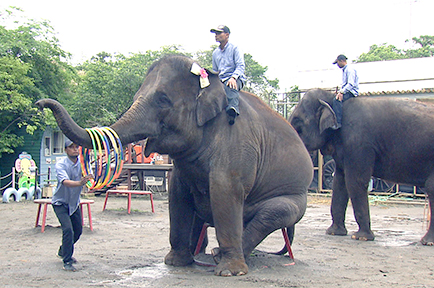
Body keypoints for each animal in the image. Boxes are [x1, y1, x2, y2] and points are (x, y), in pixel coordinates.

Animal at [34, 54, 312, 276]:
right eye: (136, 97)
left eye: (163, 99)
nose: (40, 103)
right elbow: (177, 196)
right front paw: (175, 262)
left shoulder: (237, 145)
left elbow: (225, 192)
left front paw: (230, 273)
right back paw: (202, 254)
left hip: (295, 196)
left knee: (271, 215)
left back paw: (218, 256)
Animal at [288, 88, 434, 245]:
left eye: (298, 125)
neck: (332, 99)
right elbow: (339, 182)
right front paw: (334, 233)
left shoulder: (359, 143)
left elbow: (355, 182)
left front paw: (361, 237)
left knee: (431, 188)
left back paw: (427, 242)